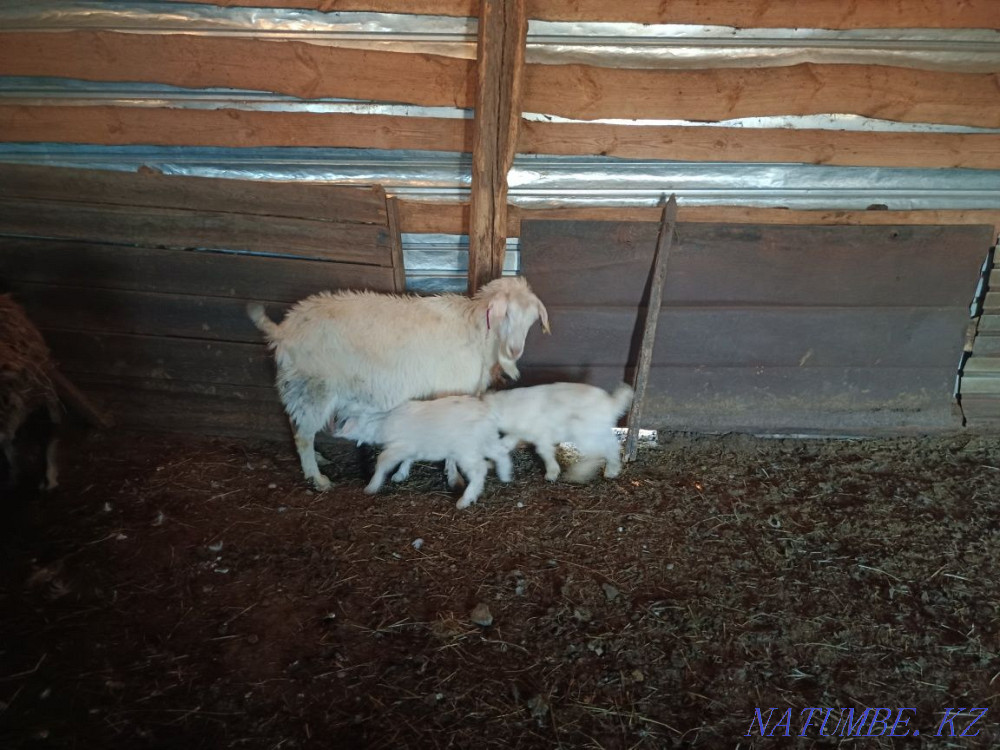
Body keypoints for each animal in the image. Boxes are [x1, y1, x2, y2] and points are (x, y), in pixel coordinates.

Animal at [248, 277, 549, 490]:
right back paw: (317, 478)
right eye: (506, 314)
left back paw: (318, 460)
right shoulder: (451, 394)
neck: (475, 331)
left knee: (296, 424)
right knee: (303, 435)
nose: (514, 350)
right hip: (315, 387)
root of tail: (283, 330)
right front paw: (453, 478)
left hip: (299, 387)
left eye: (531, 320)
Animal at [334, 395, 513, 509]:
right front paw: (400, 474)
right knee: (500, 452)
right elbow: (408, 459)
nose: (333, 429)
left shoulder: (400, 446)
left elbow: (382, 461)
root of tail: (486, 413)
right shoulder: (410, 447)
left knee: (478, 470)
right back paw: (505, 474)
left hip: (466, 449)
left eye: (343, 419)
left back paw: (465, 499)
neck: (381, 422)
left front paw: (372, 486)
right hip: (487, 439)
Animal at [484, 383, 634, 483]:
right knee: (611, 447)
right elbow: (504, 445)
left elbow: (544, 452)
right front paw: (490, 463)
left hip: (583, 431)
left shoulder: (541, 434)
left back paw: (578, 474)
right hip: (600, 431)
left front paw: (552, 473)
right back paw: (611, 471)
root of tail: (611, 404)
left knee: (596, 453)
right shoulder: (516, 434)